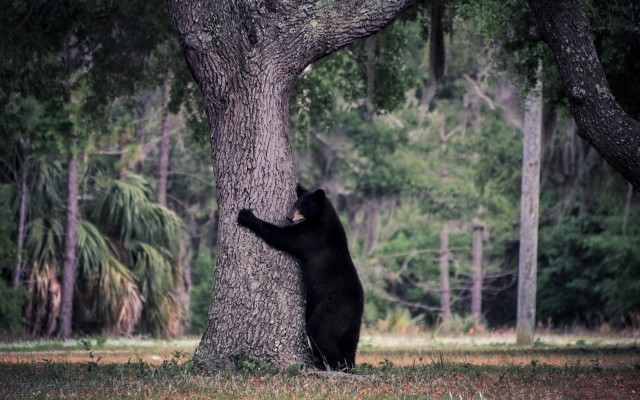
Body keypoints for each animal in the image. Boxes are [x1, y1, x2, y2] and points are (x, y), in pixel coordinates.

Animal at [237, 184, 364, 371]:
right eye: (295, 203)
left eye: (303, 206)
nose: (289, 217)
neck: (321, 217)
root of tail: (357, 310)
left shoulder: (309, 235)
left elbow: (281, 236)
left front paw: (247, 216)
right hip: (353, 327)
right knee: (350, 345)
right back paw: (347, 365)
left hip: (333, 309)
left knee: (320, 333)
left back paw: (327, 363)